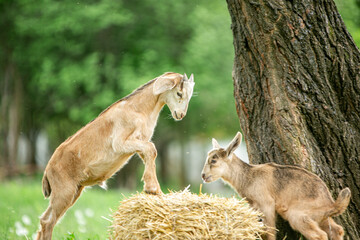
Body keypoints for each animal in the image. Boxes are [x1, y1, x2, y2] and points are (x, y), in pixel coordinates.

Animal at [35, 71, 194, 240]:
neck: (138, 109)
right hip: (64, 191)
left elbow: (150, 152)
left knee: (45, 220)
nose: (181, 114)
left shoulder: (140, 143)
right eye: (179, 93)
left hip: (74, 191)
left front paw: (156, 191)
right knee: (48, 221)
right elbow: (152, 149)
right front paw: (152, 188)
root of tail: (47, 170)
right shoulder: (120, 142)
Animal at [202, 132, 352, 240]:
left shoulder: (266, 204)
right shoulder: (254, 207)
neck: (249, 177)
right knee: (337, 230)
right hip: (321, 218)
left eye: (214, 160)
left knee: (319, 235)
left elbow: (269, 233)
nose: (203, 175)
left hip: (298, 216)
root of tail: (331, 203)